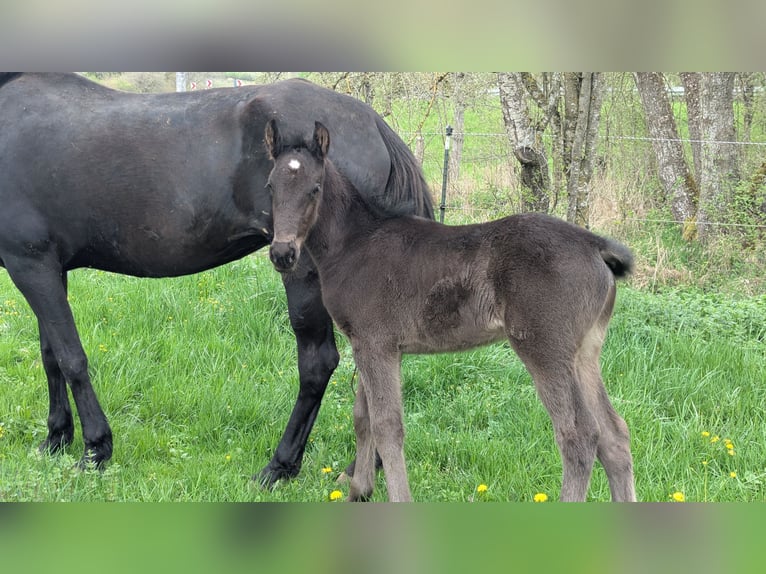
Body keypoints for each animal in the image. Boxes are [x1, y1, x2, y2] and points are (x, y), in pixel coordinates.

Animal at [0, 73, 433, 485]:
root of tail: (371, 121)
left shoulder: (30, 263)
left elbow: (71, 358)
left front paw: (94, 450)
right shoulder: (48, 268)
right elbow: (50, 356)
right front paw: (56, 439)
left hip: (306, 275)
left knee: (318, 363)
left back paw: (280, 466)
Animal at [265, 119, 637, 502]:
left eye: (315, 188)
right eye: (270, 186)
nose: (282, 254)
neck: (354, 244)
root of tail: (595, 244)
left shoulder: (376, 344)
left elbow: (387, 425)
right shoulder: (367, 344)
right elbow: (362, 416)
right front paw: (359, 491)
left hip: (545, 348)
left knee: (579, 435)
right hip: (585, 353)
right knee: (614, 435)